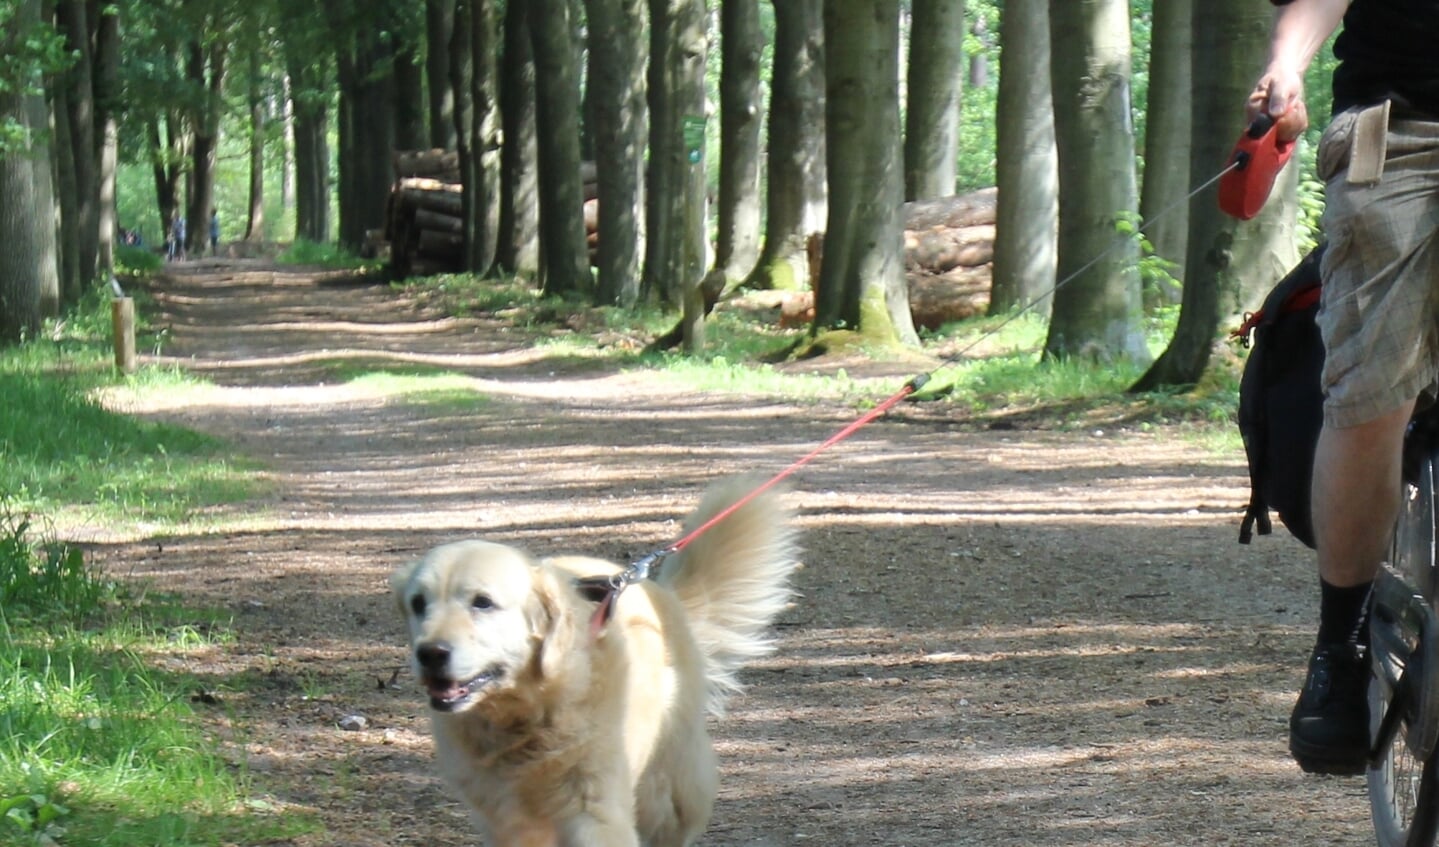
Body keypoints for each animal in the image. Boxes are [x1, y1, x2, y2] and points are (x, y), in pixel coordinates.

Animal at [391, 474, 800, 845]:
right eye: (418, 603)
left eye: (482, 602)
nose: (430, 653)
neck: (530, 713)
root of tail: (655, 588)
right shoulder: (505, 820)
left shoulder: (593, 805)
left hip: (664, 789)